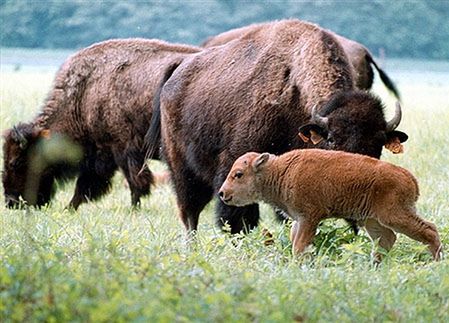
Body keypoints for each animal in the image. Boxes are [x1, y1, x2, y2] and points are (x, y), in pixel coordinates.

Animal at [3, 38, 200, 210]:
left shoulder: (121, 149)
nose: (11, 202)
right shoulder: (102, 156)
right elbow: (86, 187)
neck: (84, 94)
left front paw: (134, 209)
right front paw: (69, 208)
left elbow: (134, 182)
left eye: (15, 162)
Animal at [217, 151, 440, 262]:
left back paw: (436, 260)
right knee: (386, 239)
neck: (279, 171)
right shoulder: (299, 219)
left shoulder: (309, 217)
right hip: (372, 220)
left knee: (429, 229)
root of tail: (410, 178)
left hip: (394, 216)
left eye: (238, 174)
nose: (222, 193)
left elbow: (299, 245)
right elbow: (295, 241)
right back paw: (375, 265)